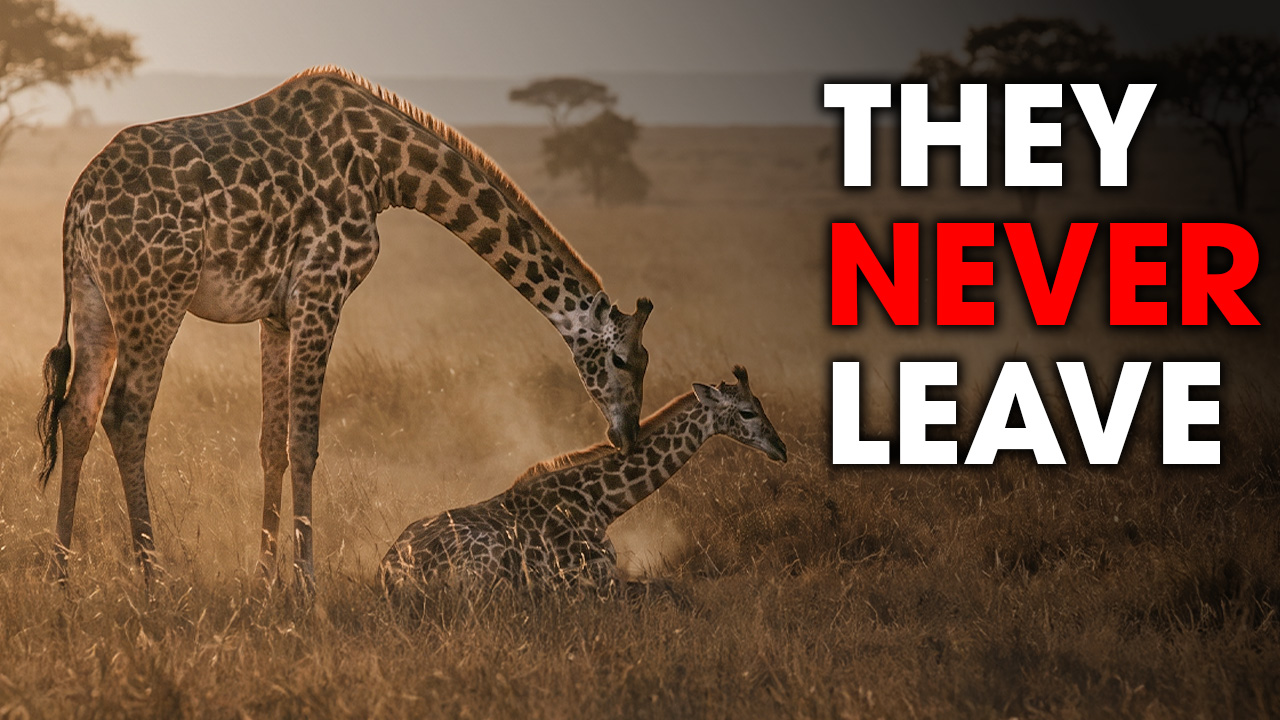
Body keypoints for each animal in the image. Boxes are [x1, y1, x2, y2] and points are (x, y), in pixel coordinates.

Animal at [34, 66, 654, 589]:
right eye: (624, 360)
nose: (626, 436)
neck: (388, 168)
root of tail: (77, 201)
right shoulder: (322, 291)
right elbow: (306, 443)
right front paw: (306, 585)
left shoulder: (277, 313)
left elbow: (272, 443)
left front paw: (265, 580)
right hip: (155, 297)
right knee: (125, 415)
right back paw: (155, 580)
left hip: (95, 299)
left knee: (78, 411)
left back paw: (62, 575)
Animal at [379, 366, 786, 600]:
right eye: (746, 412)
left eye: (761, 405)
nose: (781, 448)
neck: (600, 502)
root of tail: (388, 575)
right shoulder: (596, 578)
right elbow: (667, 588)